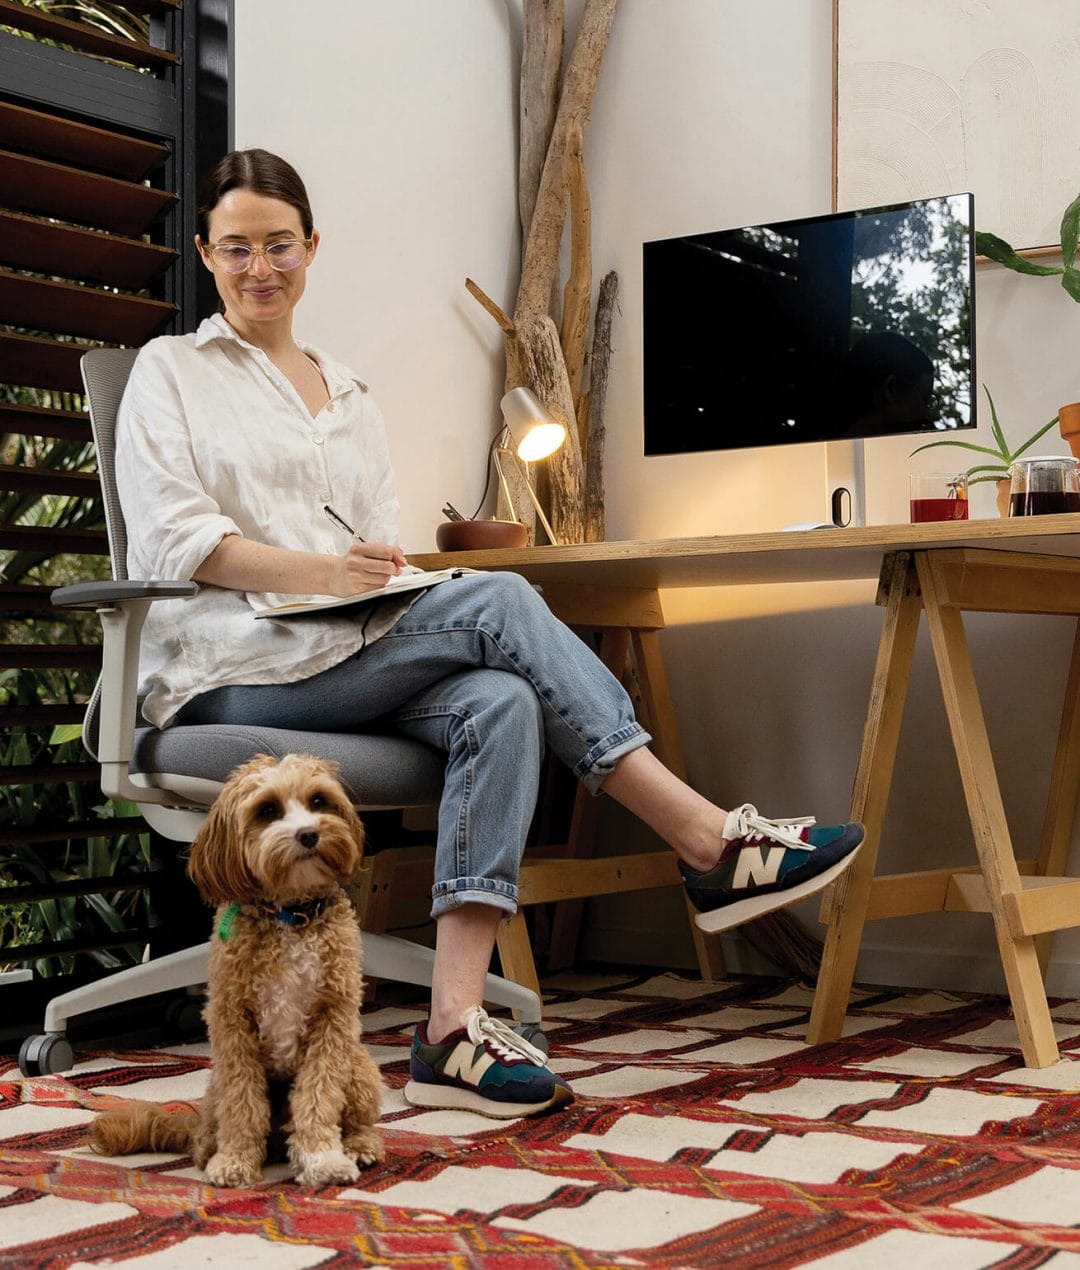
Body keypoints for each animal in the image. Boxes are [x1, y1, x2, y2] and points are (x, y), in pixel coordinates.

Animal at [89, 746, 383, 1183]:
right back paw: (211, 1148)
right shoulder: (233, 1024)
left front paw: (323, 1160)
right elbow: (243, 1104)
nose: (309, 834)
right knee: (208, 1132)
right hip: (214, 1089)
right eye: (267, 810)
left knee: (358, 1118)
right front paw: (235, 1161)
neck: (290, 916)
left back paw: (360, 1146)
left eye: (318, 801)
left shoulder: (332, 1022)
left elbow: (318, 1098)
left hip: (360, 1065)